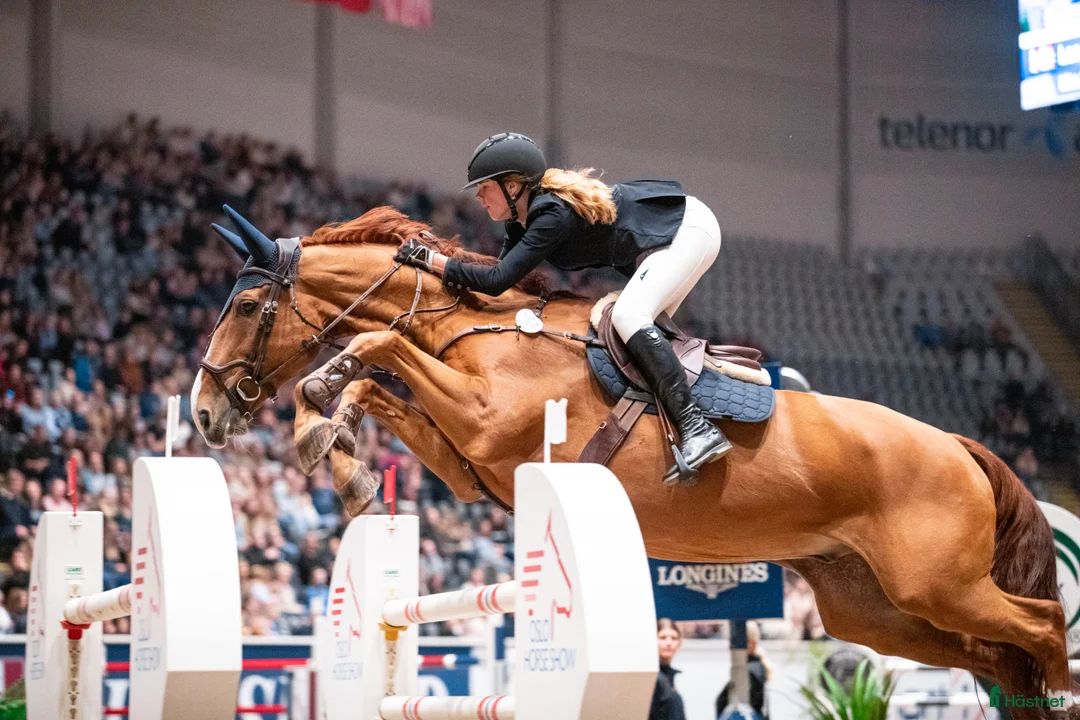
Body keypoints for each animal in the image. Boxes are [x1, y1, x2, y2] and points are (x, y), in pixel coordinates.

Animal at [192, 206, 1071, 717]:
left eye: (245, 304)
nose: (202, 412)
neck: (479, 327)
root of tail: (960, 445)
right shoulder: (465, 459)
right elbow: (380, 386)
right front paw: (337, 452)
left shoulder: (483, 422)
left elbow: (380, 346)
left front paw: (321, 404)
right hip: (876, 610)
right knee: (994, 655)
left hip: (939, 586)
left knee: (1040, 625)